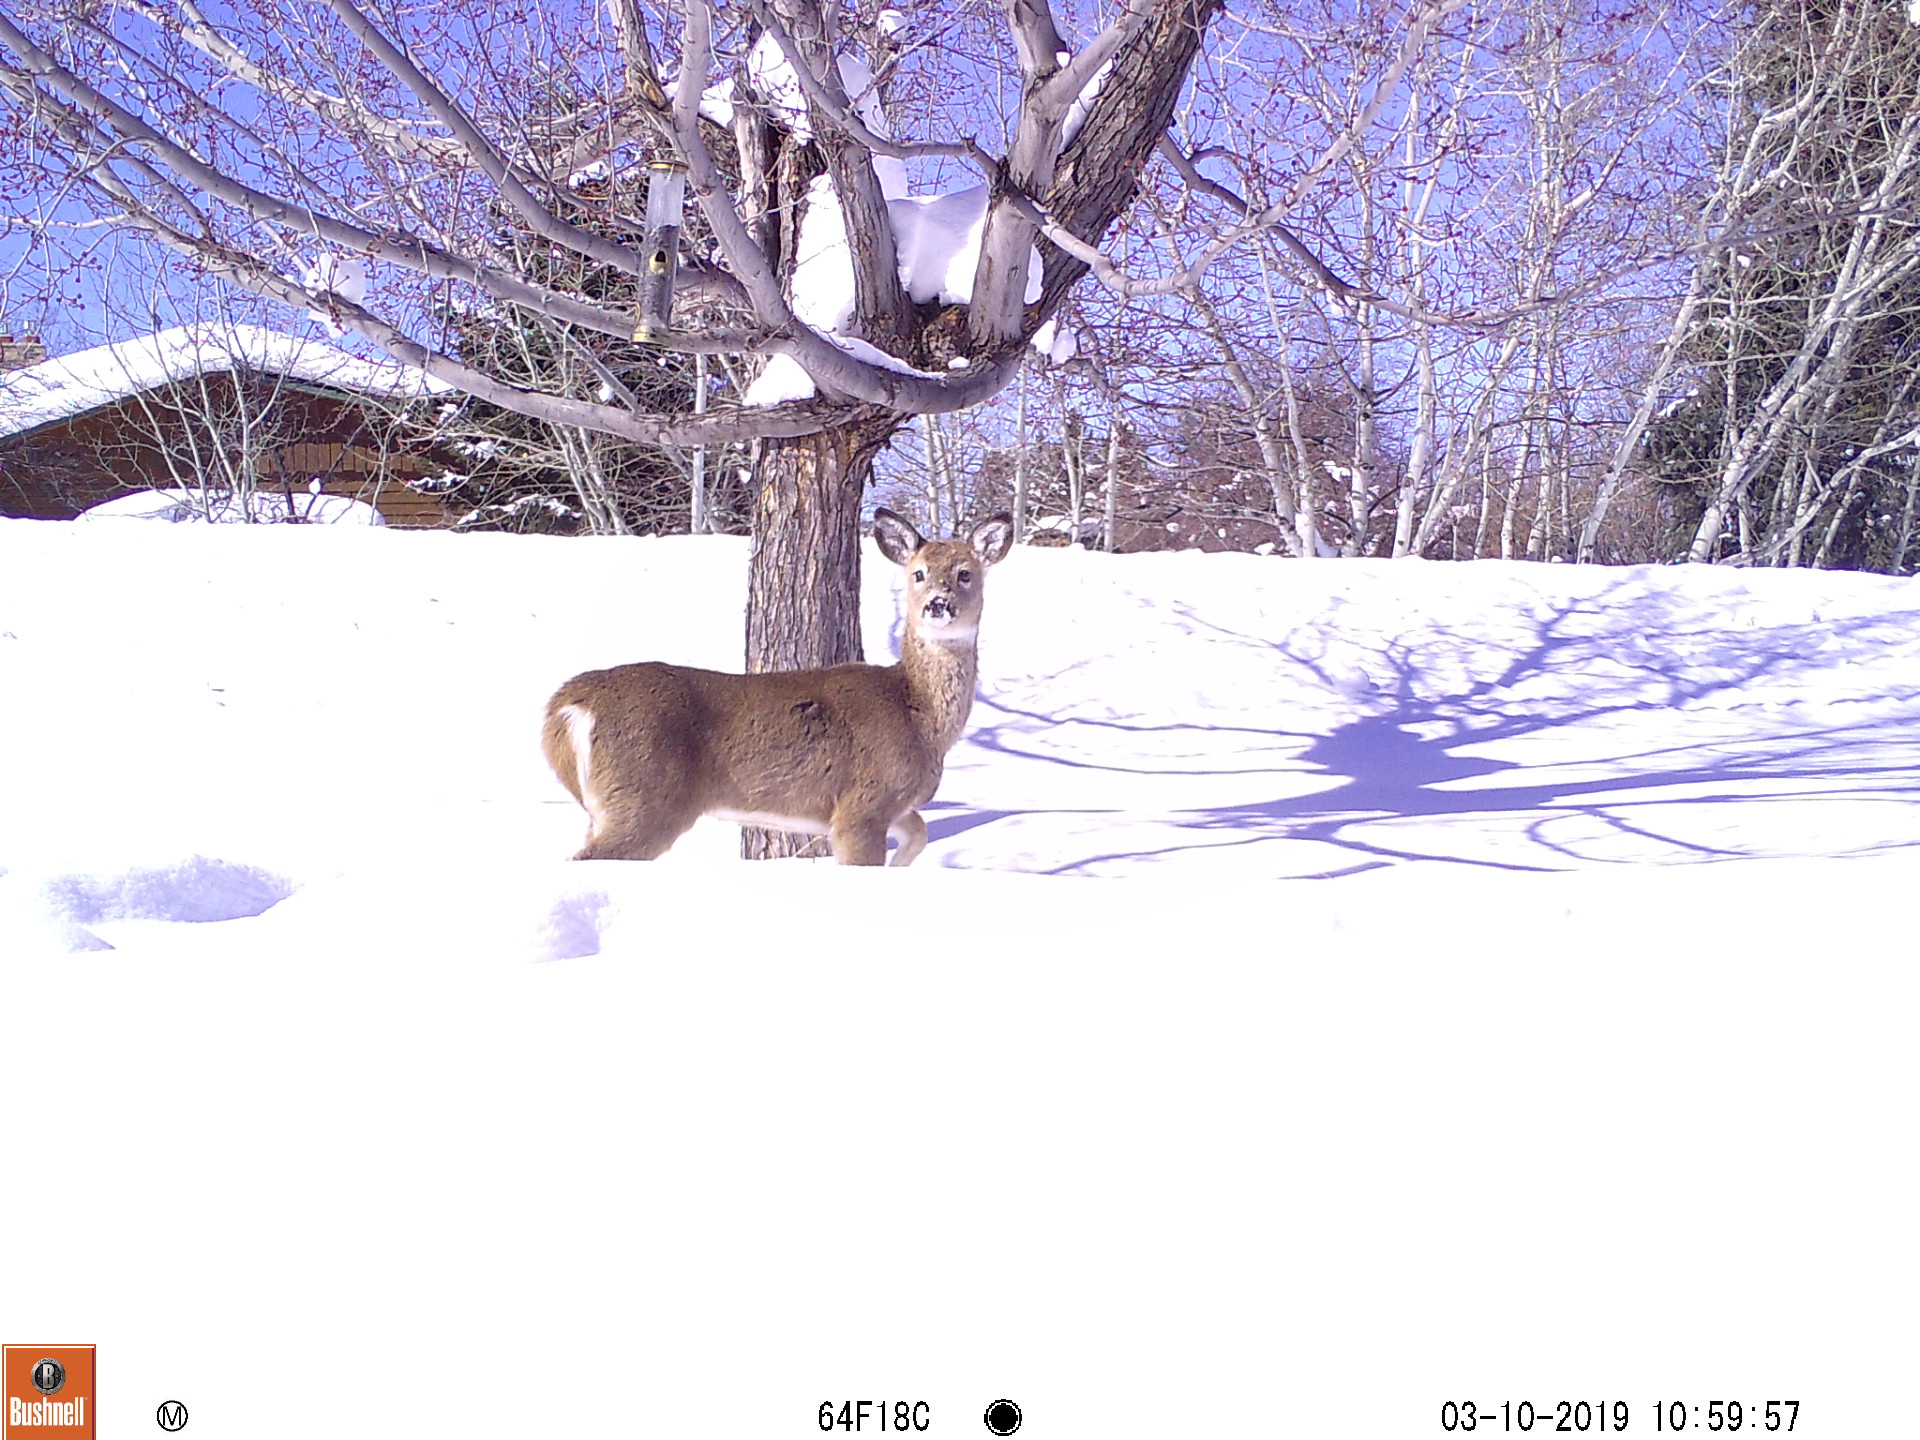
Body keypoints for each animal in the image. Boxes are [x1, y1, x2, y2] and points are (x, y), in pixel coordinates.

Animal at [541, 508, 1015, 866]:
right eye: (918, 573)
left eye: (965, 573)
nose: (938, 604)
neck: (918, 713)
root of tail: (567, 708)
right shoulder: (862, 804)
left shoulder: (892, 806)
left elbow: (919, 834)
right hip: (644, 796)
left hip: (608, 804)